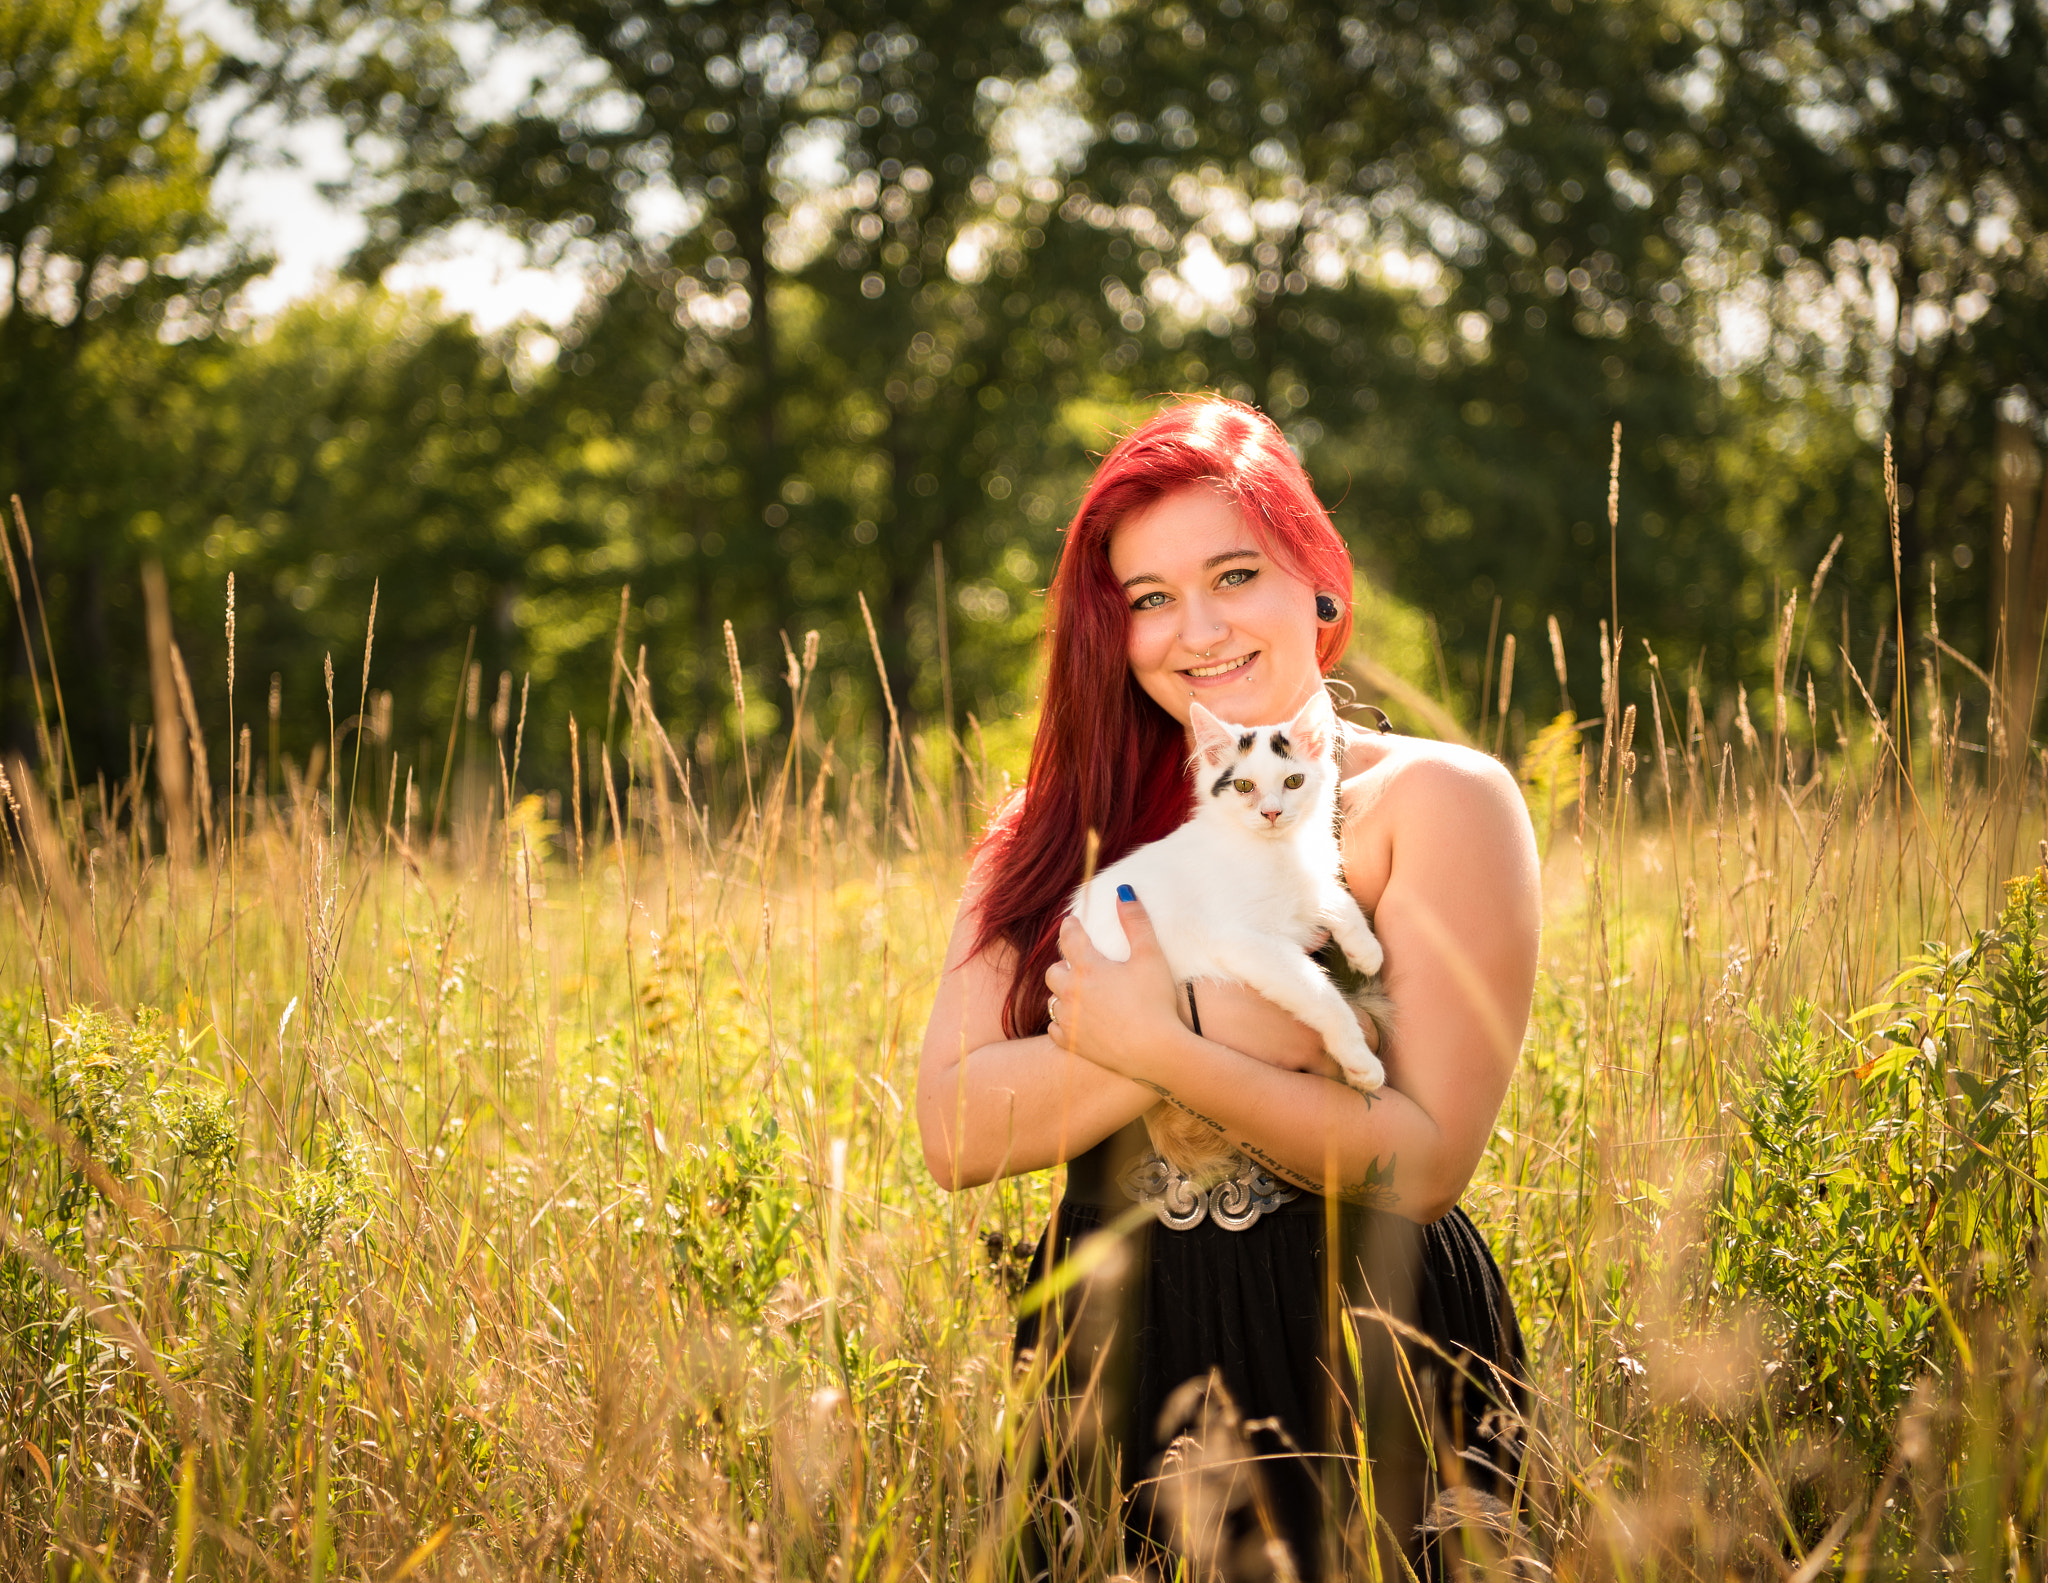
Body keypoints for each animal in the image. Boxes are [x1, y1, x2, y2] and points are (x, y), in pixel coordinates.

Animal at [1073, 692, 1392, 1171]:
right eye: (1244, 786)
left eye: (1294, 781)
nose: (1272, 812)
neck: (1275, 850)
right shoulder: (1245, 941)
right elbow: (1320, 994)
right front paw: (1359, 1059)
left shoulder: (1305, 887)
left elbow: (1330, 895)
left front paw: (1365, 949)